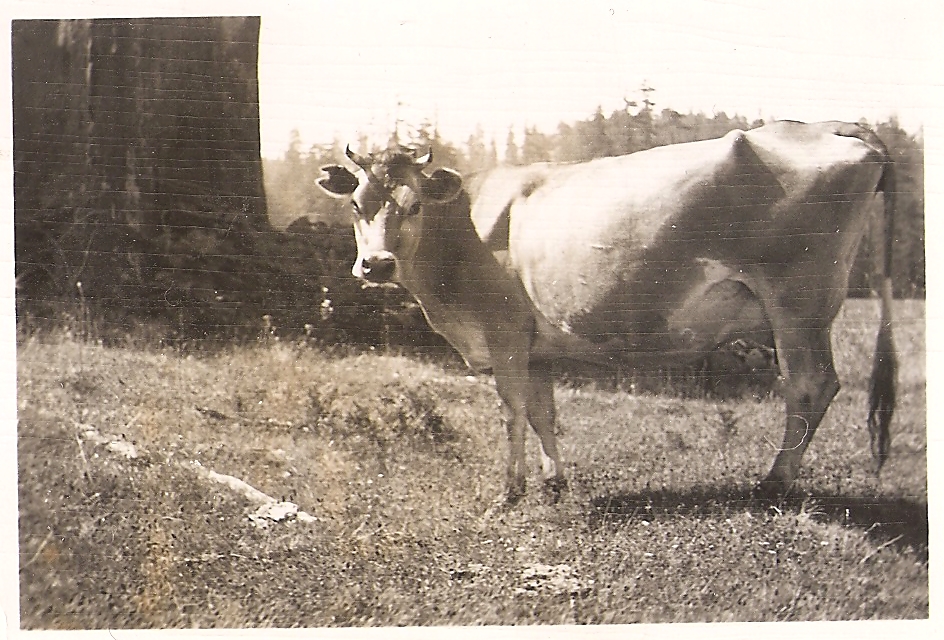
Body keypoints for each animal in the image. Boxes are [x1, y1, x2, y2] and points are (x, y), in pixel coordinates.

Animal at [317, 120, 897, 504]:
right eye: (356, 205)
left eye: (413, 206)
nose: (376, 264)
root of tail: (837, 127)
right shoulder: (536, 345)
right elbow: (544, 412)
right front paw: (554, 483)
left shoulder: (503, 331)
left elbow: (511, 411)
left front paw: (511, 490)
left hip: (798, 303)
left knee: (810, 384)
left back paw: (774, 480)